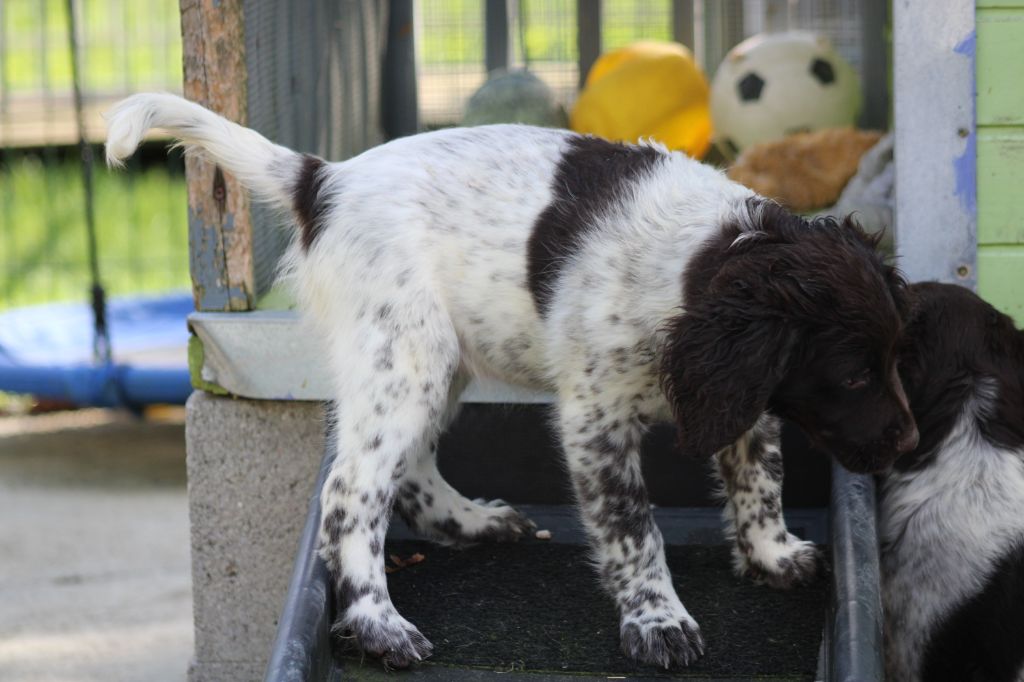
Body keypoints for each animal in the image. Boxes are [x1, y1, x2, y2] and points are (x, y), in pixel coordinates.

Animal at [105, 93, 921, 667]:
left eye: (893, 359)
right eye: (852, 377)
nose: (910, 444)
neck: (699, 263)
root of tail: (325, 179)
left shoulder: (736, 392)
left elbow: (760, 477)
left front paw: (772, 555)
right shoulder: (596, 419)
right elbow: (635, 528)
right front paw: (657, 618)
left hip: (437, 358)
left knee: (409, 472)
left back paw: (471, 521)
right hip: (408, 352)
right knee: (351, 492)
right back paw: (378, 623)